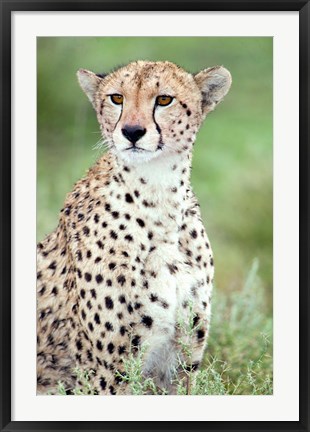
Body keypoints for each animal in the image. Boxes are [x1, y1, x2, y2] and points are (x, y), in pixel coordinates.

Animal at [37, 60, 230, 394]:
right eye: (117, 98)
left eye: (164, 100)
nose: (132, 132)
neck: (158, 196)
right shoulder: (109, 373)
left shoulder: (181, 362)